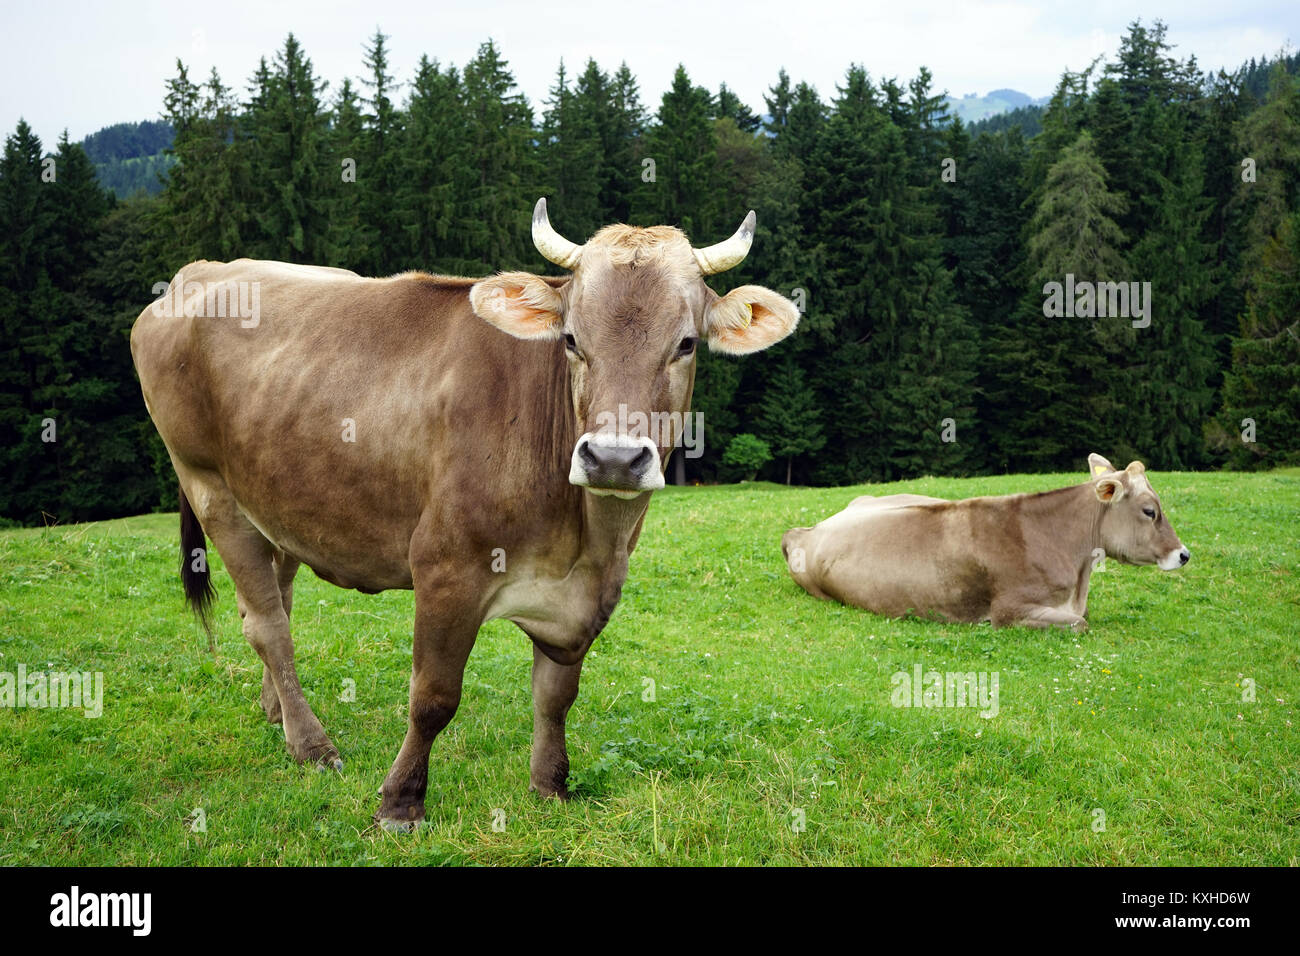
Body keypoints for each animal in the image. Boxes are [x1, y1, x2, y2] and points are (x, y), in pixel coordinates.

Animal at [130, 199, 799, 829]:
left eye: (685, 343)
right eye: (571, 340)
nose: (613, 458)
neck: (586, 539)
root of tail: (200, 270)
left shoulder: (585, 599)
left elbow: (556, 695)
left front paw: (550, 787)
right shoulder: (446, 568)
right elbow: (433, 697)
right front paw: (401, 803)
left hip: (278, 501)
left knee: (276, 601)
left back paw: (280, 714)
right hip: (210, 486)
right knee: (267, 624)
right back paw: (313, 746)